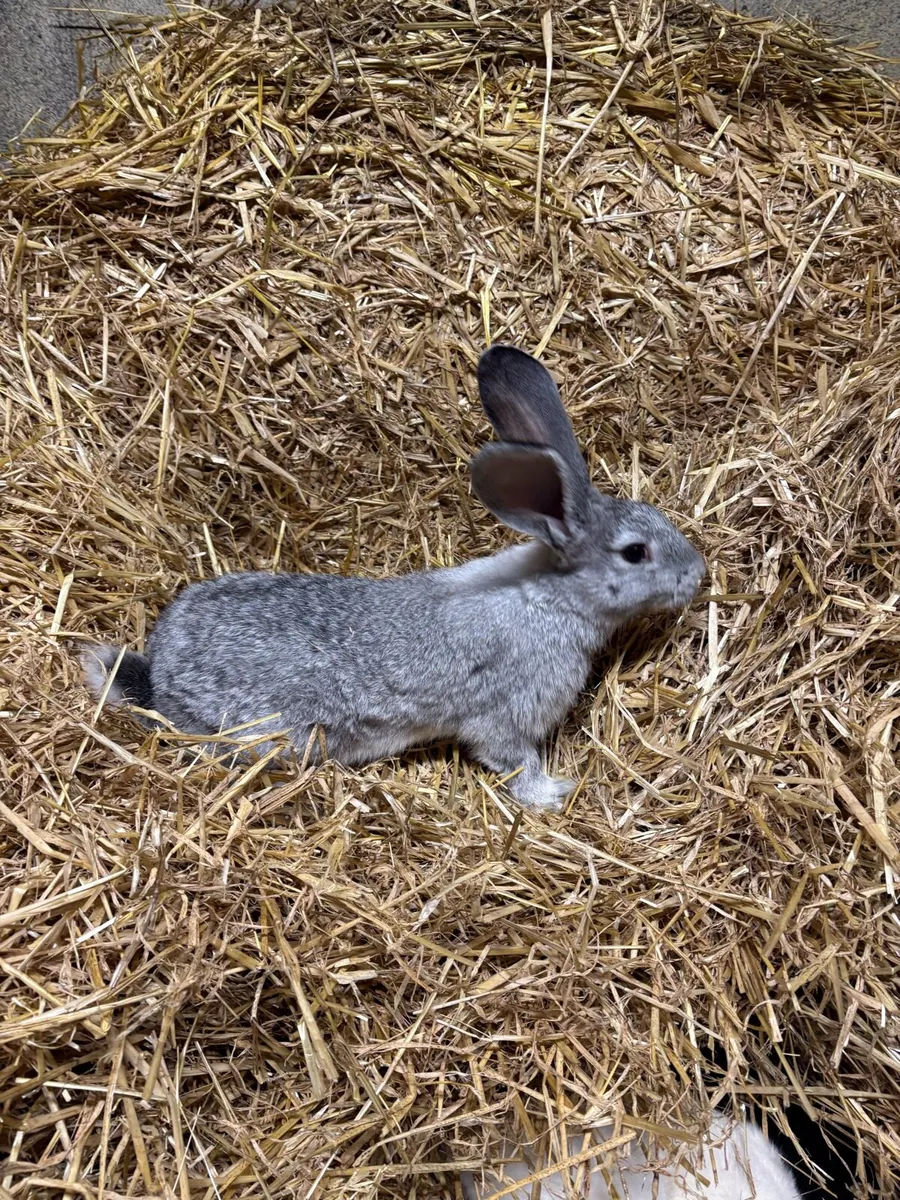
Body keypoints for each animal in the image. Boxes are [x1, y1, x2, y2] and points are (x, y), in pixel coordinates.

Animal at [82, 345, 704, 810]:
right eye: (635, 553)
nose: (697, 574)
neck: (551, 596)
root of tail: (159, 679)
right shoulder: (506, 715)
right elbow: (513, 760)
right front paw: (554, 793)